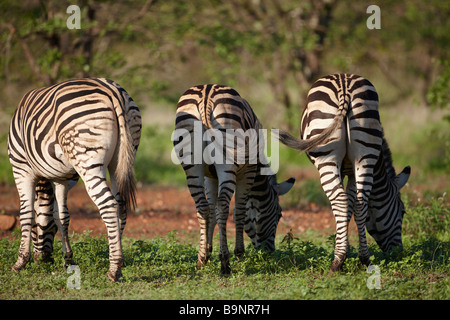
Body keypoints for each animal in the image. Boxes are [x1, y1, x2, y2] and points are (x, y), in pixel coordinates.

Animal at [9, 78, 142, 282]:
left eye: (34, 231)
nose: (43, 260)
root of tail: (111, 90)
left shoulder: (21, 167)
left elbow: (26, 212)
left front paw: (20, 261)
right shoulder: (62, 178)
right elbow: (61, 215)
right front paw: (68, 260)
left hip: (87, 159)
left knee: (108, 204)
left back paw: (114, 268)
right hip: (122, 159)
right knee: (121, 205)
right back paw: (117, 255)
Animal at [173, 84, 296, 276]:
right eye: (279, 214)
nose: (270, 252)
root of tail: (206, 95)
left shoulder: (210, 177)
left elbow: (211, 211)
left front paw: (208, 251)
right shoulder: (248, 171)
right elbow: (239, 211)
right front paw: (239, 253)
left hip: (192, 165)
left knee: (202, 207)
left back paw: (201, 260)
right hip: (228, 162)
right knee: (223, 206)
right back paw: (225, 263)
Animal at [276, 74, 410, 272]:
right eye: (402, 212)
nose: (399, 253)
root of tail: (344, 86)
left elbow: (345, 205)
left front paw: (343, 248)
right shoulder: (353, 171)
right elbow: (351, 205)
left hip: (327, 157)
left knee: (339, 199)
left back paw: (337, 261)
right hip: (364, 153)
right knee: (361, 202)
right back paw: (364, 259)